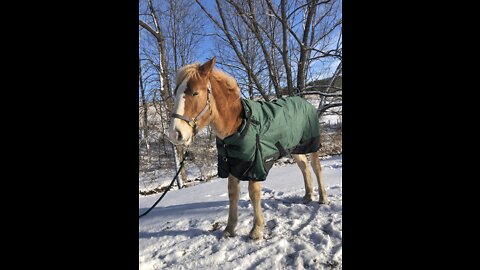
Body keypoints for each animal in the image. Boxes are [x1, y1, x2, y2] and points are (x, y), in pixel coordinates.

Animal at [167, 56, 328, 239]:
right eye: (176, 93)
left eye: (195, 92)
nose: (175, 134)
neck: (237, 126)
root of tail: (304, 101)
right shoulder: (231, 164)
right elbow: (232, 194)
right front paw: (229, 229)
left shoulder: (255, 165)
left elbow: (254, 193)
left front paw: (256, 230)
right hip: (294, 148)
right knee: (304, 166)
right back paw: (308, 196)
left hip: (311, 144)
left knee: (316, 167)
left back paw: (322, 198)